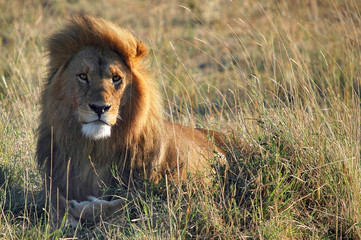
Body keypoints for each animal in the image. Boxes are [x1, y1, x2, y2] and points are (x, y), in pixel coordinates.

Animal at [36, 15, 239, 227]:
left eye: (116, 78)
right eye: (83, 76)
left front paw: (82, 208)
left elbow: (133, 201)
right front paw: (66, 215)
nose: (100, 108)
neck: (96, 149)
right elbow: (54, 204)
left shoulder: (181, 190)